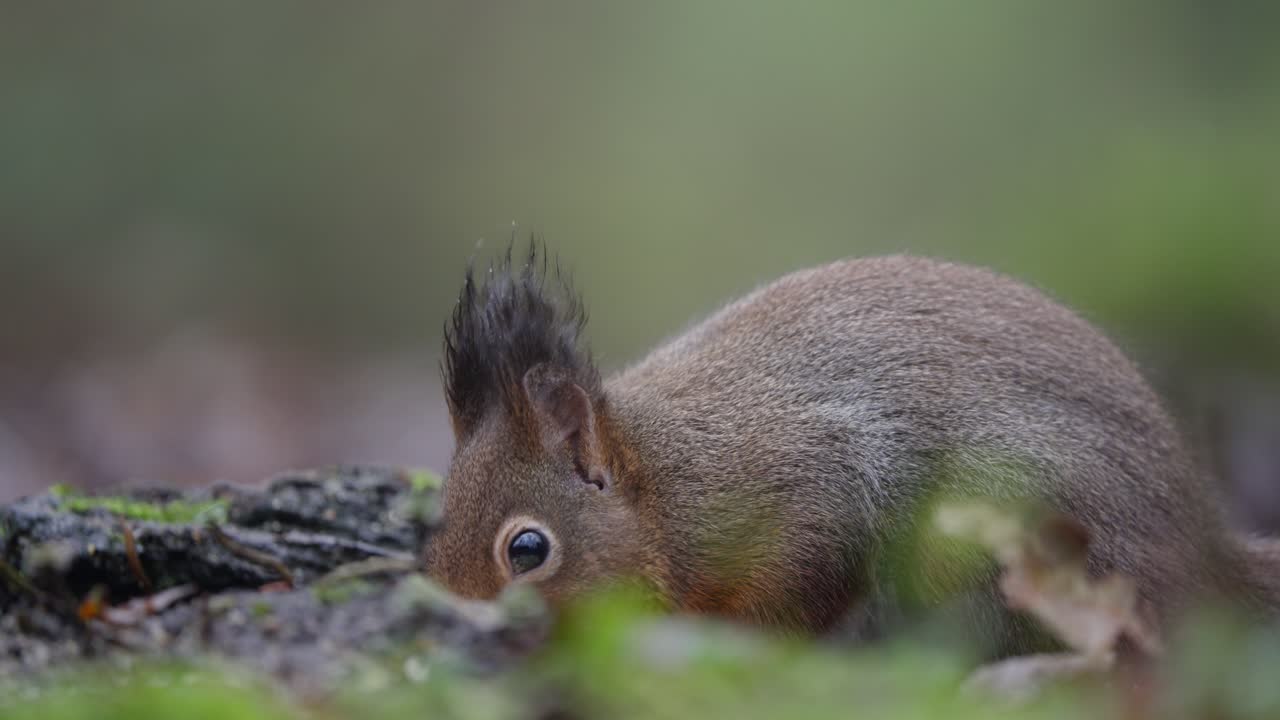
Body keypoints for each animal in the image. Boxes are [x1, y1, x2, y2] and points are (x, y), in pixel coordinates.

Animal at [424, 244, 1280, 654]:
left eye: (527, 549)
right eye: (434, 537)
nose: (454, 621)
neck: (669, 485)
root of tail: (1201, 550)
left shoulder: (802, 499)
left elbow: (802, 583)